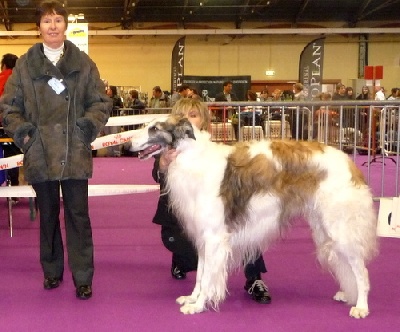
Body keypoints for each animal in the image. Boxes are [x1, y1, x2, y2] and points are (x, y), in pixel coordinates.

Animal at [130, 116, 378, 320]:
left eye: (154, 128)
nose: (126, 144)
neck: (191, 157)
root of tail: (349, 162)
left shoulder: (214, 237)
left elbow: (208, 276)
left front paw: (198, 306)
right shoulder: (203, 238)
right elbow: (200, 274)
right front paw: (192, 298)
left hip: (340, 228)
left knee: (362, 271)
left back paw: (362, 307)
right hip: (325, 228)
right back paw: (348, 294)